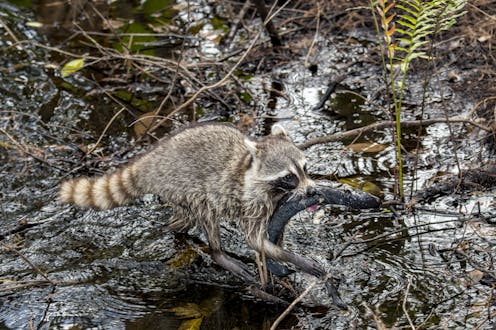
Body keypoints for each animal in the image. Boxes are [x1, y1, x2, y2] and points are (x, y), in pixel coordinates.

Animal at [58, 124, 314, 284]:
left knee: (184, 219)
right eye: (288, 176)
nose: (312, 190)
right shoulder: (250, 199)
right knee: (205, 211)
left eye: (304, 168)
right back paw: (217, 252)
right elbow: (254, 238)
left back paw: (173, 230)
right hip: (182, 186)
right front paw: (298, 260)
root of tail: (150, 160)